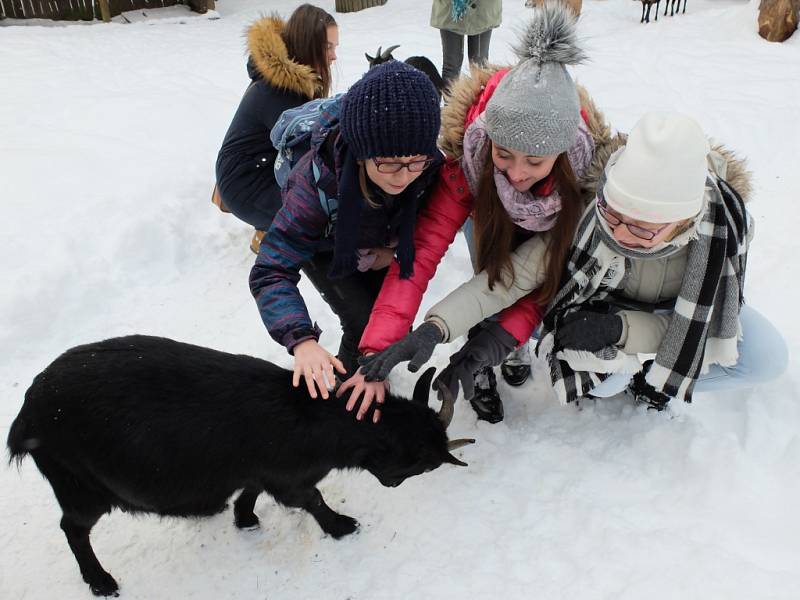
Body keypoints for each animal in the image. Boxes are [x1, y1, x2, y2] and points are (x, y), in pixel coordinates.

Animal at [6, 336, 472, 596]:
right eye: (422, 466)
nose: (394, 484)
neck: (315, 419)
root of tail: (27, 414)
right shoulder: (290, 477)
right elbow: (312, 499)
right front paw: (342, 526)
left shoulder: (259, 469)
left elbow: (252, 488)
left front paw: (245, 518)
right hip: (80, 485)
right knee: (73, 528)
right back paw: (101, 582)